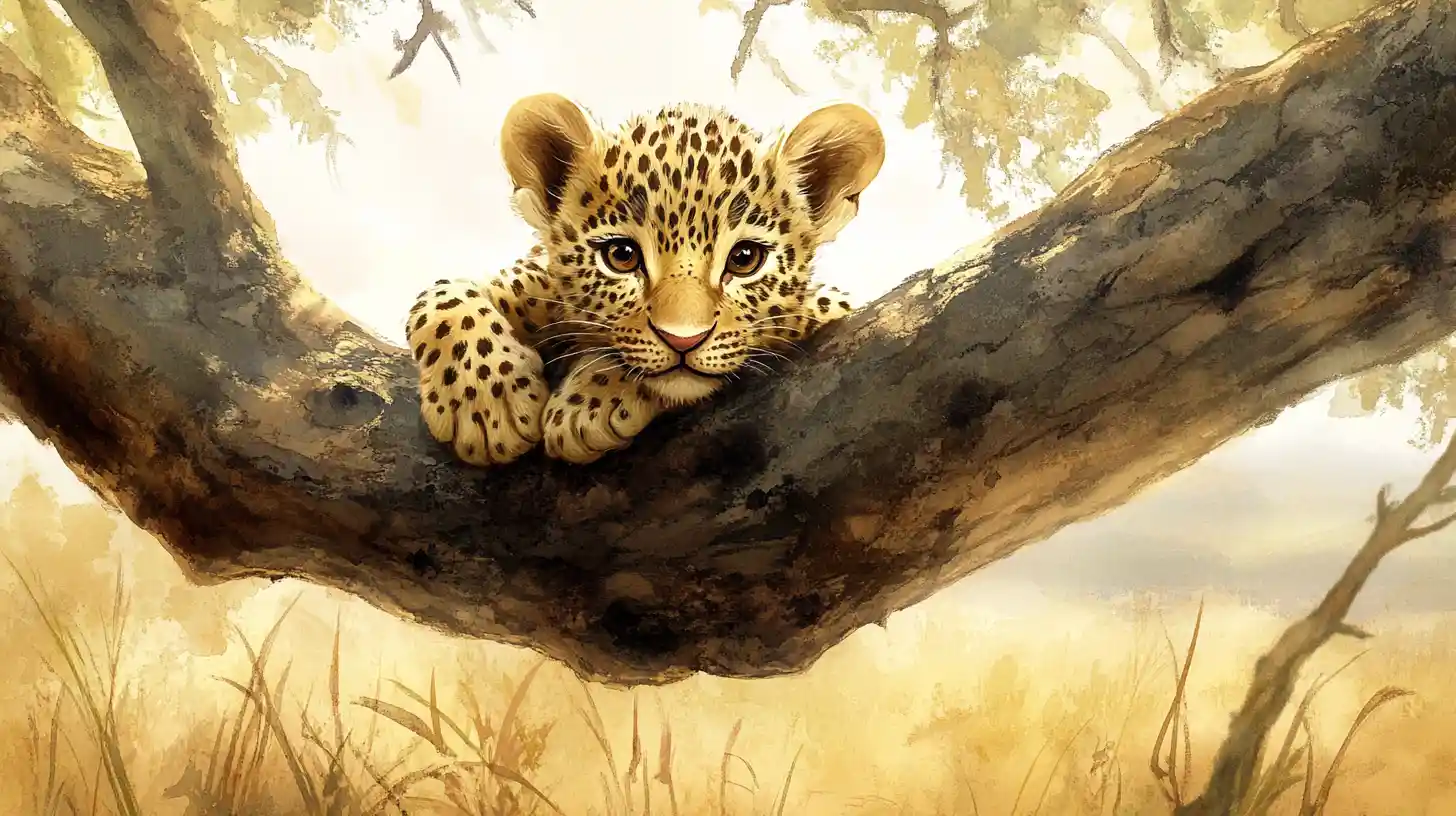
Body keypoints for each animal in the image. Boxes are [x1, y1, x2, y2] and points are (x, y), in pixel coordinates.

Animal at [406, 93, 885, 465]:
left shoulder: (830, 306)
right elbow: (439, 297)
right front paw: (488, 402)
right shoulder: (529, 281)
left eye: (746, 259)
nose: (683, 341)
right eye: (621, 256)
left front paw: (586, 407)